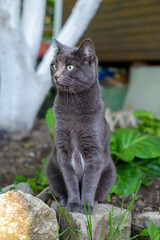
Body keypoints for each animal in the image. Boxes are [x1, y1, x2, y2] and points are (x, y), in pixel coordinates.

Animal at [46, 39, 116, 214]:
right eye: (54, 65)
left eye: (70, 67)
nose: (56, 76)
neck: (73, 105)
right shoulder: (63, 151)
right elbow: (70, 182)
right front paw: (73, 204)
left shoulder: (94, 153)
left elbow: (89, 184)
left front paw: (86, 206)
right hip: (51, 170)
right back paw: (64, 200)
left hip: (111, 173)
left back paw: (95, 201)